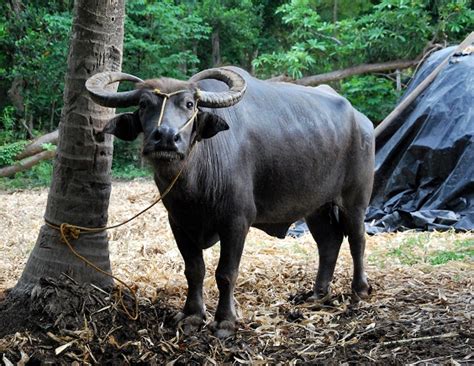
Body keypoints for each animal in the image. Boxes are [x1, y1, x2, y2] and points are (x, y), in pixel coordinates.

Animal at [85, 66, 374, 338]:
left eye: (189, 104)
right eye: (144, 104)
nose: (166, 137)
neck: (194, 182)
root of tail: (361, 120)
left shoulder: (236, 221)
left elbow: (225, 273)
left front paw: (225, 321)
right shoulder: (178, 223)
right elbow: (194, 269)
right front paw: (192, 315)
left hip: (355, 199)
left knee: (357, 239)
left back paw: (359, 289)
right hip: (317, 206)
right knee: (328, 243)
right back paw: (318, 294)